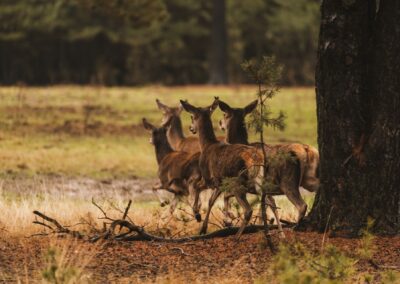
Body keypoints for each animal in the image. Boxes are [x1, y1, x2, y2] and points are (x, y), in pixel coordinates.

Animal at [180, 98, 282, 236]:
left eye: (192, 116)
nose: (191, 128)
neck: (207, 145)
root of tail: (257, 159)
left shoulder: (209, 178)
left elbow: (201, 190)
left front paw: (198, 217)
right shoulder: (220, 182)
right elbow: (213, 200)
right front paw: (224, 220)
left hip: (239, 181)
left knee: (250, 209)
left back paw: (238, 236)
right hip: (258, 182)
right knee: (271, 202)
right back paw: (279, 232)